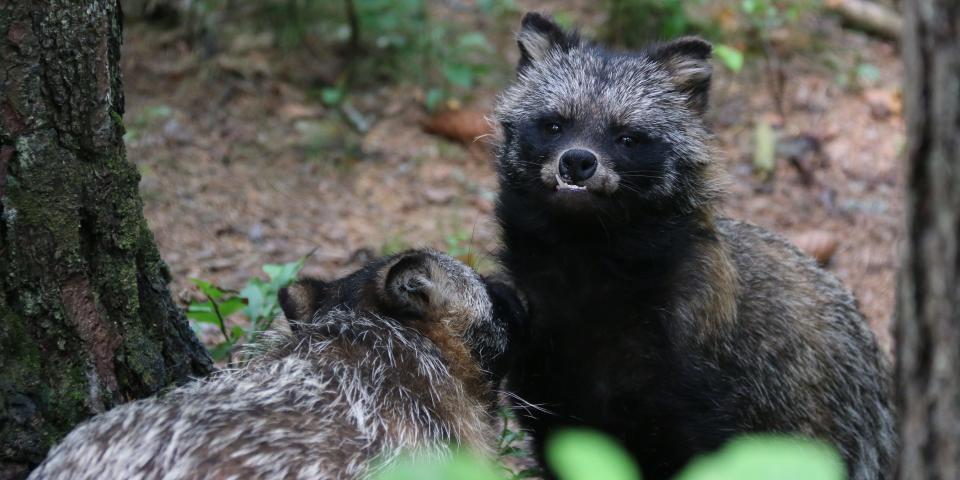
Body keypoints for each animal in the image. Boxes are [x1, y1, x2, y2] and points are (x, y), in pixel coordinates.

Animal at [492, 11, 896, 480]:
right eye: (553, 124)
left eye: (627, 137)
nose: (577, 162)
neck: (587, 265)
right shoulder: (552, 390)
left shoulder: (705, 398)